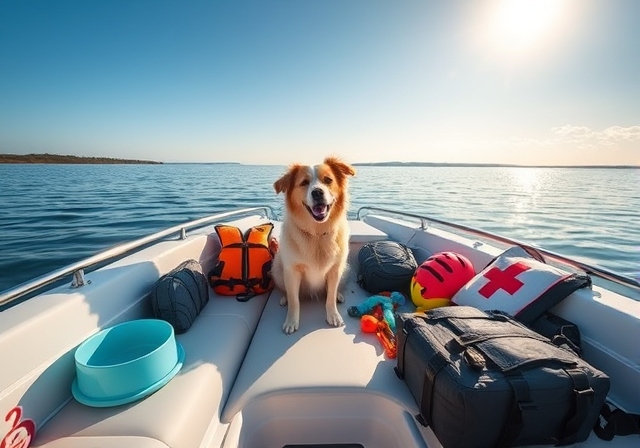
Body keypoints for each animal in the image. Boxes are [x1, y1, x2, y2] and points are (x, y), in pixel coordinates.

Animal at [272, 157, 358, 332]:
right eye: (304, 182)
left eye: (328, 180)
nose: (317, 192)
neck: (317, 234)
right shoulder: (292, 271)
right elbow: (294, 301)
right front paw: (291, 321)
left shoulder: (335, 270)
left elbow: (330, 297)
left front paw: (333, 315)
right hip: (277, 268)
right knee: (286, 292)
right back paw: (284, 299)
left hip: (344, 269)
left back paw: (339, 295)